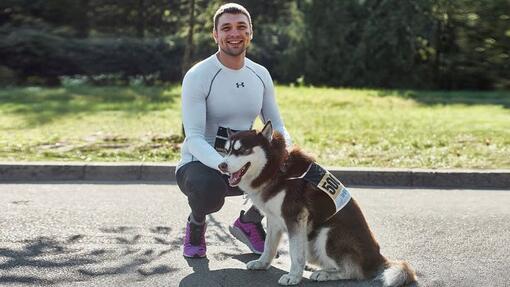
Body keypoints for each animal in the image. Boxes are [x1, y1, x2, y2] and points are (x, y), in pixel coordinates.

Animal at [217, 122, 416, 287]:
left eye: (242, 150)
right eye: (226, 151)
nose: (221, 166)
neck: (277, 169)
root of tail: (378, 258)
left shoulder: (295, 218)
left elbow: (296, 253)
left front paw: (293, 276)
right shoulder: (274, 218)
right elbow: (269, 245)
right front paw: (262, 263)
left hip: (327, 233)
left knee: (353, 271)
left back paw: (325, 274)